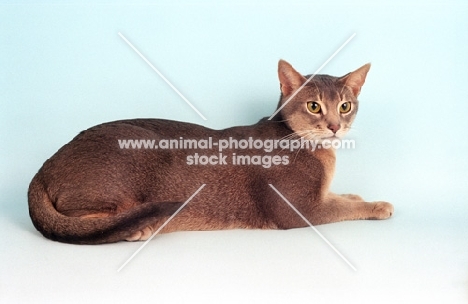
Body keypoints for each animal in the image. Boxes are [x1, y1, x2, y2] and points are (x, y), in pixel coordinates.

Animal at [28, 59, 394, 245]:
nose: (334, 126)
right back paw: (138, 228)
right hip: (136, 151)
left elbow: (341, 197)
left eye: (345, 106)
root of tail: (44, 167)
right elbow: (341, 208)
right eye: (313, 106)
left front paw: (355, 194)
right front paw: (378, 205)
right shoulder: (300, 209)